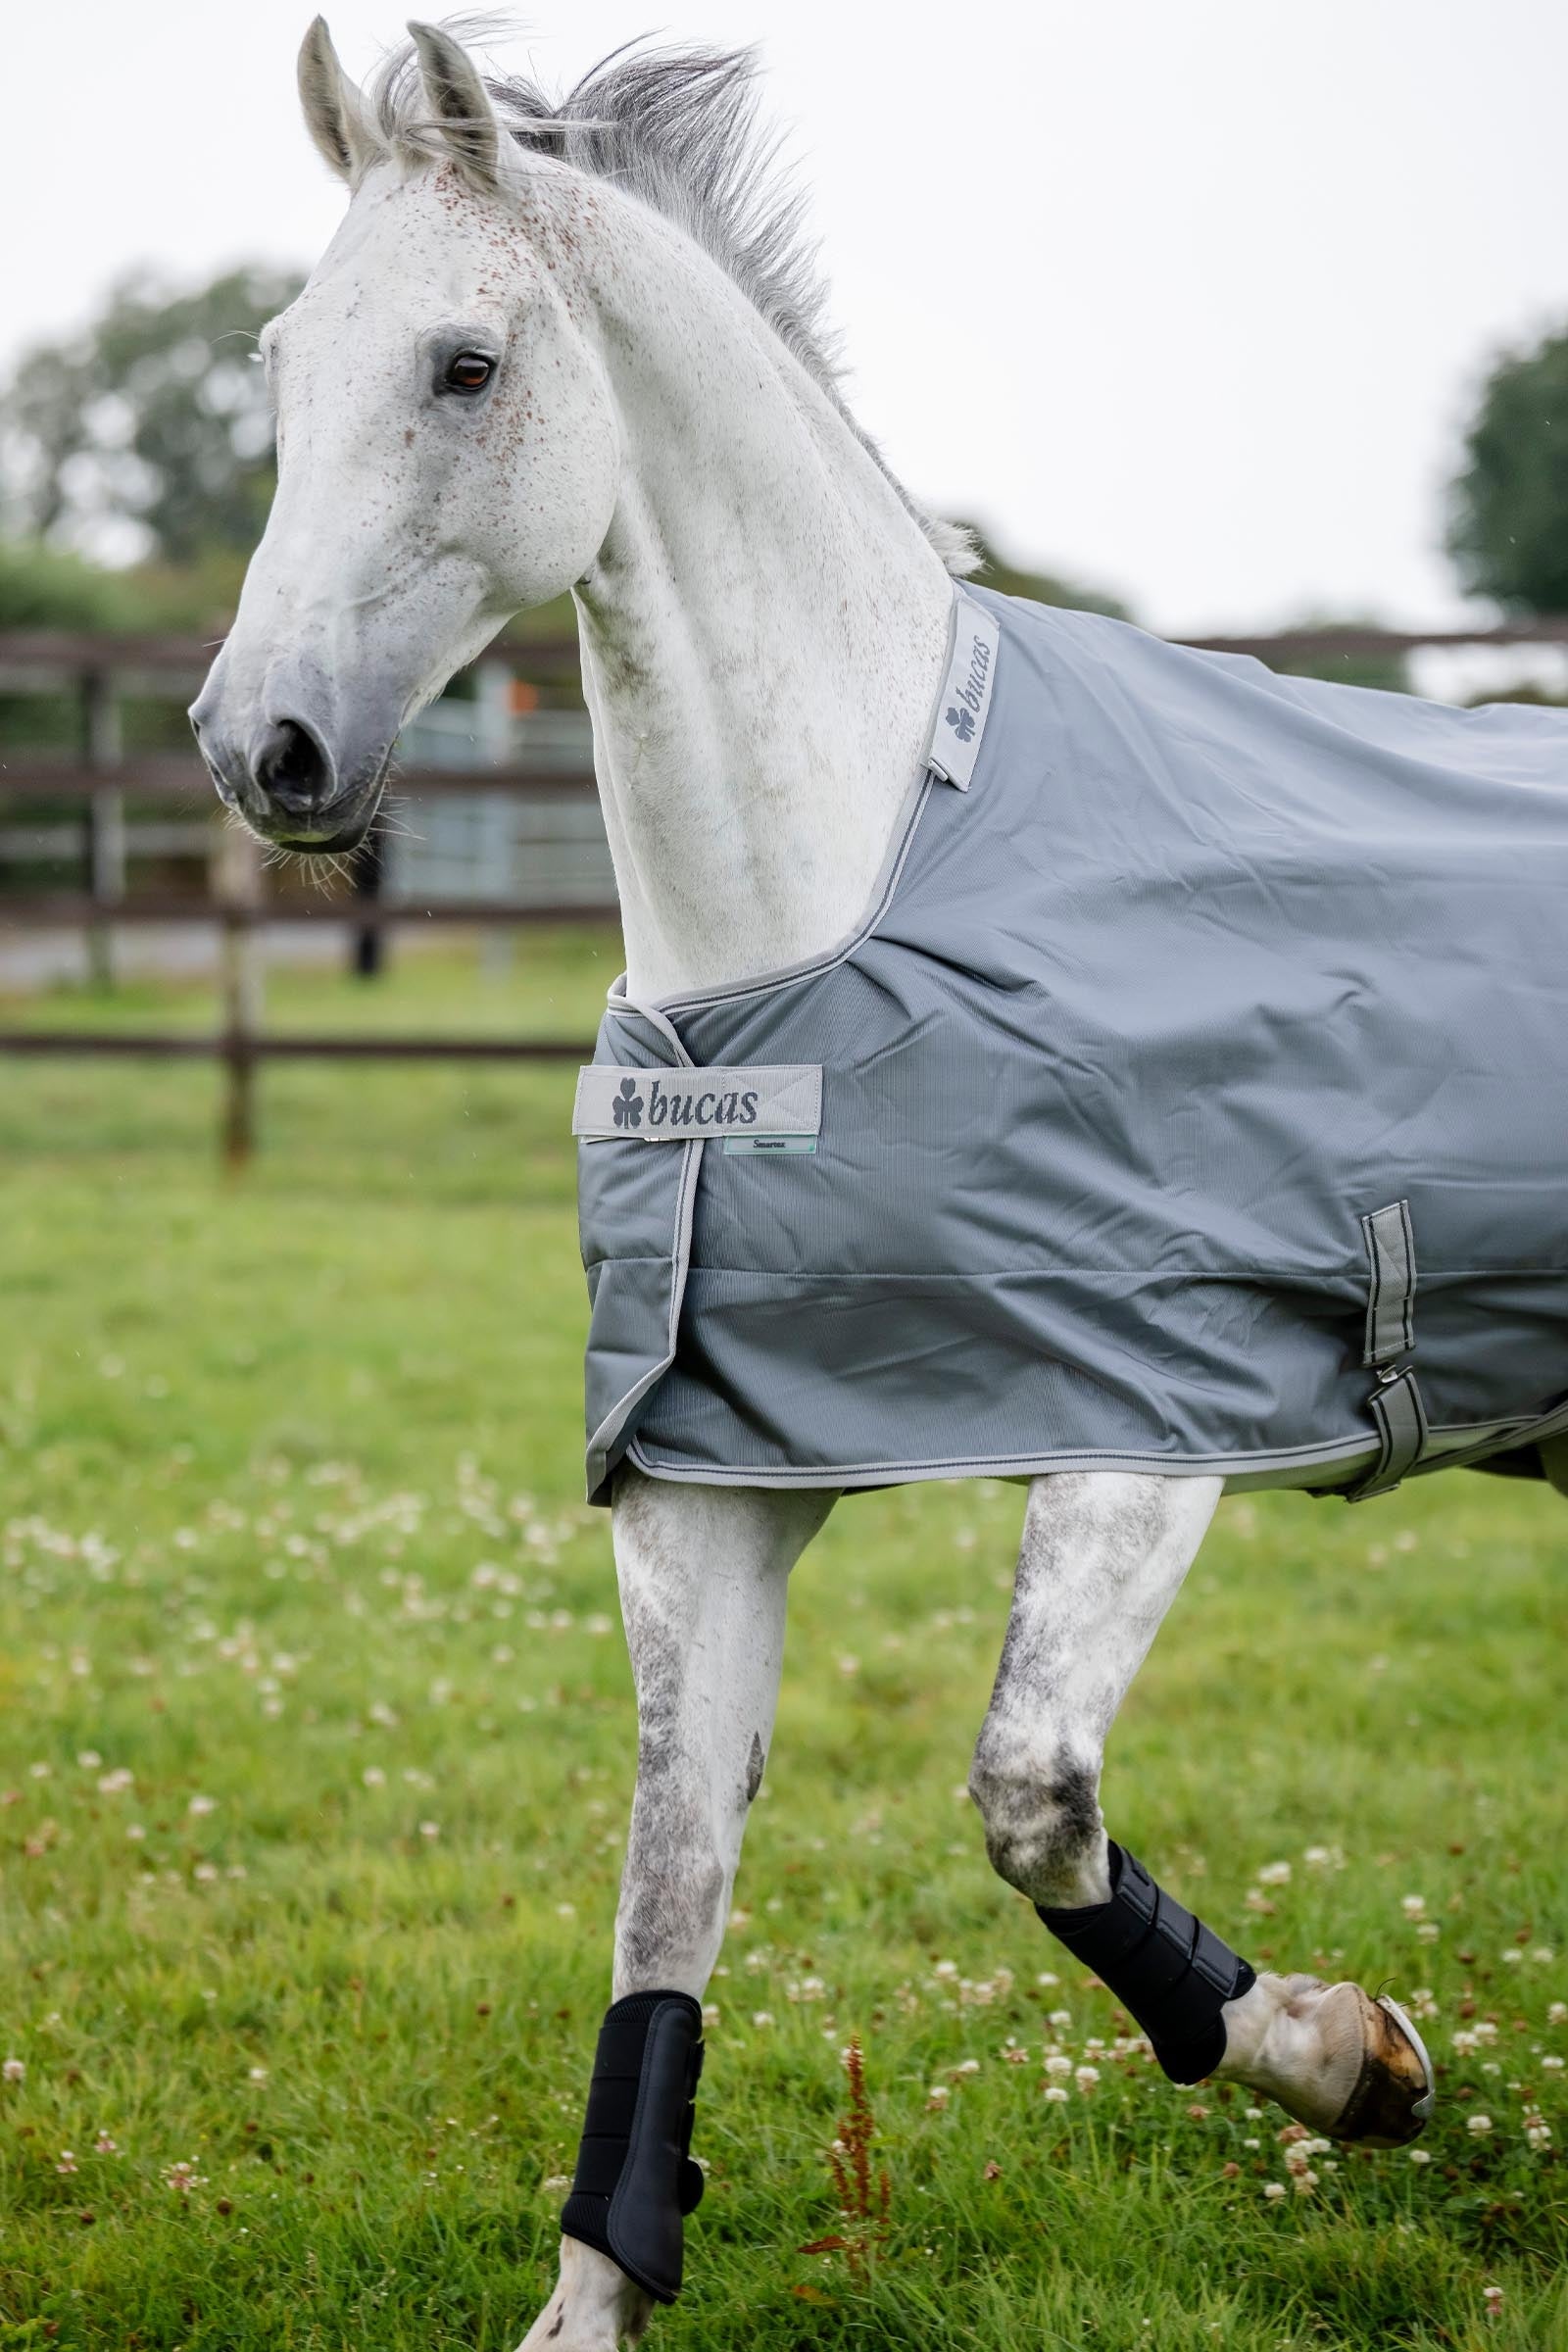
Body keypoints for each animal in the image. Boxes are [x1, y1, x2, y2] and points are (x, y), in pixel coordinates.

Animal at [189, 21, 1568, 2346]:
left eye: (467, 364)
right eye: (283, 362)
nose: (256, 750)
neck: (830, 913)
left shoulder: (1137, 1431)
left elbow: (1030, 1806)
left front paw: (1346, 2060)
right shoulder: (704, 1478)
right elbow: (670, 1886)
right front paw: (593, 2291)